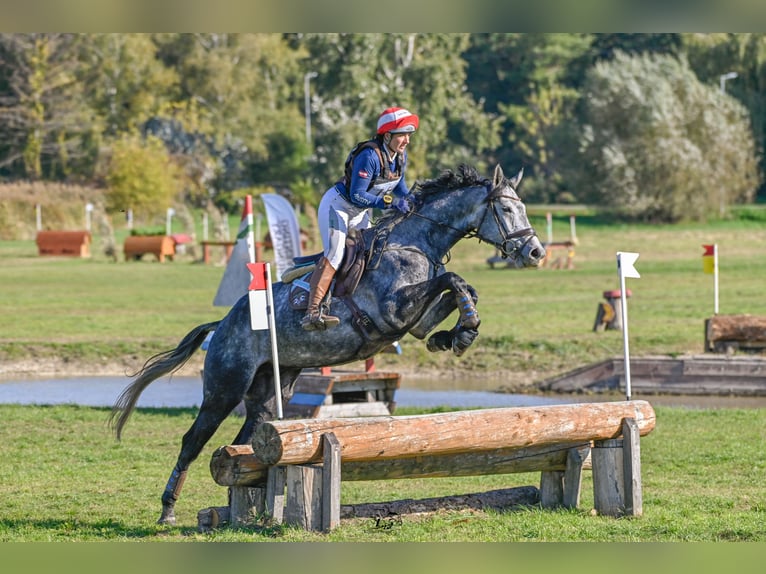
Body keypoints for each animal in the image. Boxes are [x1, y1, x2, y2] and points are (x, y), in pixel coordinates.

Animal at [111, 163, 548, 528]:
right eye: (506, 210)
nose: (535, 252)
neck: (417, 242)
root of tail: (222, 325)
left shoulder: (415, 321)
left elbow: (459, 289)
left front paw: (457, 333)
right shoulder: (395, 310)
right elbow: (454, 280)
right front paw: (464, 329)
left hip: (269, 391)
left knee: (241, 443)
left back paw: (251, 505)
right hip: (225, 387)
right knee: (193, 440)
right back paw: (168, 509)